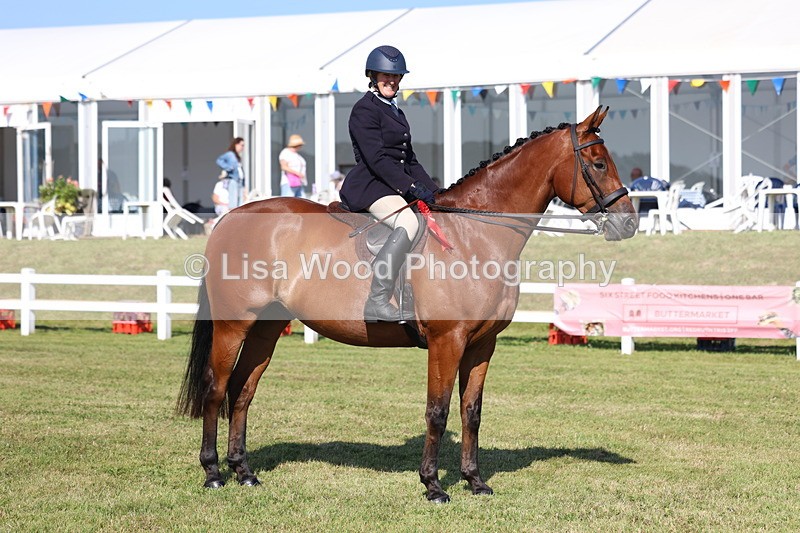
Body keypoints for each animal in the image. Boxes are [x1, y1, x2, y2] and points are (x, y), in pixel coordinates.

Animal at [177, 106, 638, 503]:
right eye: (598, 163)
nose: (629, 221)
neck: (475, 235)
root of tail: (229, 218)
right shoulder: (446, 341)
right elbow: (438, 411)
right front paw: (433, 486)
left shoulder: (482, 344)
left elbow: (471, 412)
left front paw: (475, 481)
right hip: (234, 324)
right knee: (216, 388)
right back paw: (213, 473)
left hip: (267, 327)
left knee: (242, 390)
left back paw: (244, 472)